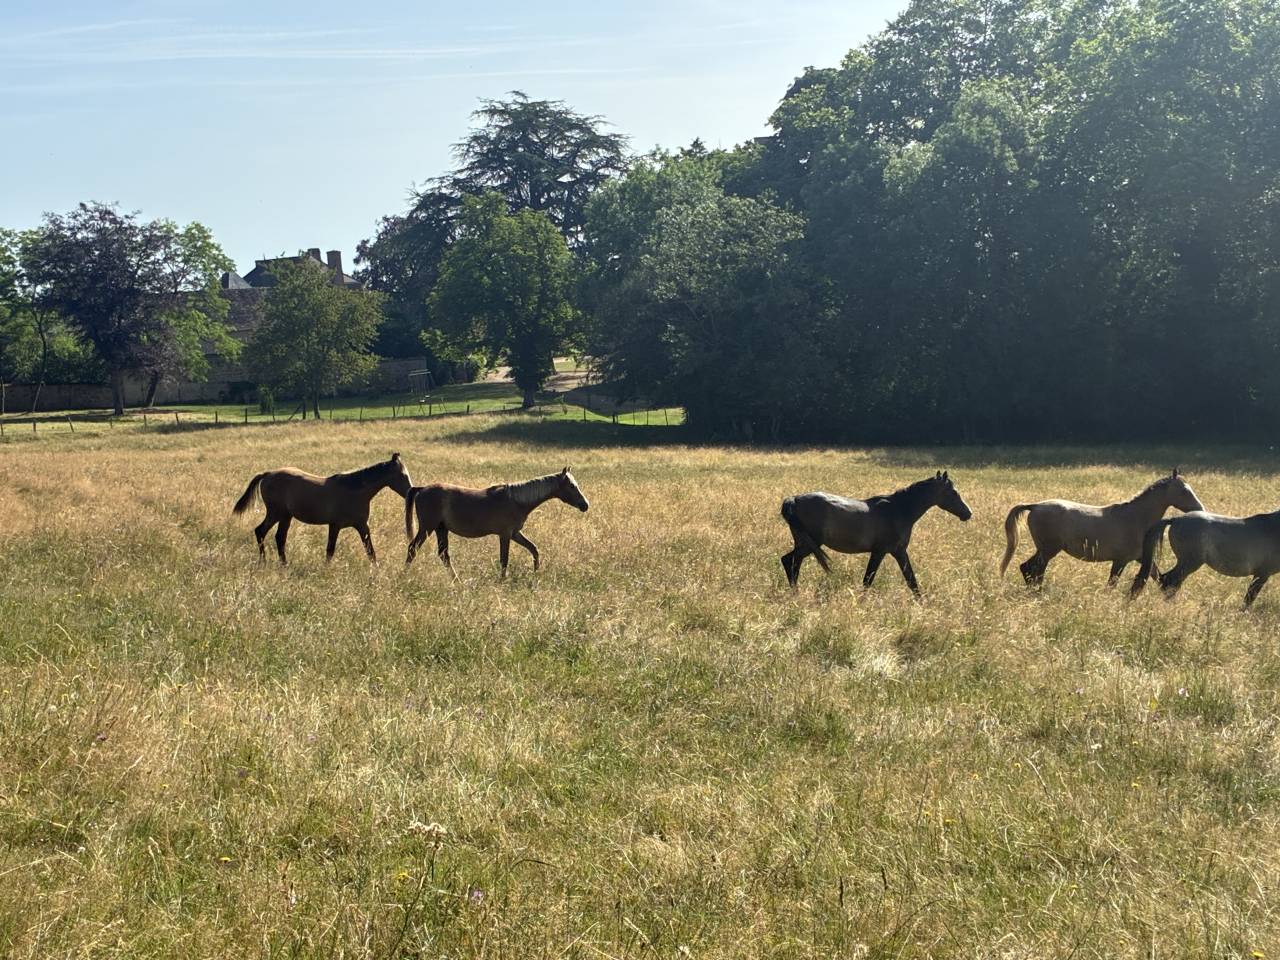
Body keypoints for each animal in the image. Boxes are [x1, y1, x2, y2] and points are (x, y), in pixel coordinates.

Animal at [232, 452, 412, 564]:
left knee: (279, 537)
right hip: (276, 513)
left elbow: (370, 551)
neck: (354, 491)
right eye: (403, 475)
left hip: (285, 517)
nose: (410, 491)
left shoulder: (362, 526)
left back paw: (283, 564)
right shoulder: (335, 525)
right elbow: (330, 550)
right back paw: (264, 561)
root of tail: (267, 474)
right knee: (261, 532)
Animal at [404, 467, 589, 577]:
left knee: (444, 555)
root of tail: (421, 489)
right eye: (572, 486)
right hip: (427, 528)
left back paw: (457, 581)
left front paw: (536, 573)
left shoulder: (515, 534)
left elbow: (534, 549)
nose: (585, 505)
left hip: (441, 529)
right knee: (413, 549)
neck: (516, 500)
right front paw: (502, 580)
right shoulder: (505, 535)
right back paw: (404, 575)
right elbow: (504, 560)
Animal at [780, 471, 972, 595]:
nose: (968, 513)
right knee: (789, 561)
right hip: (809, 544)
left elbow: (911, 580)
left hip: (804, 543)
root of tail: (794, 499)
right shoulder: (881, 551)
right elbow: (868, 580)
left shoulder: (899, 552)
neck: (899, 510)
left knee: (792, 563)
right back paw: (795, 593)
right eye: (953, 492)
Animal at [999, 470, 1203, 587]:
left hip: (1045, 550)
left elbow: (1158, 577)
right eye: (1184, 490)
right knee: (1033, 570)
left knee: (1029, 569)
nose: (1200, 508)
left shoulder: (1140, 558)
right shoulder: (1121, 560)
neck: (1135, 518)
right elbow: (1111, 583)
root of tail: (1035, 506)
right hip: (1048, 550)